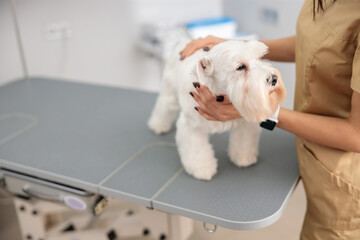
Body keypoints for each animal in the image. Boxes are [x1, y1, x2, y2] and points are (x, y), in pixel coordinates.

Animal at [148, 40, 286, 180]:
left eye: (259, 58)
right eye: (240, 67)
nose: (274, 79)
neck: (219, 92)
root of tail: (184, 42)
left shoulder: (245, 123)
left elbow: (244, 141)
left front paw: (243, 157)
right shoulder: (192, 126)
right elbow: (197, 150)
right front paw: (202, 168)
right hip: (169, 93)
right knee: (163, 106)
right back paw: (158, 125)